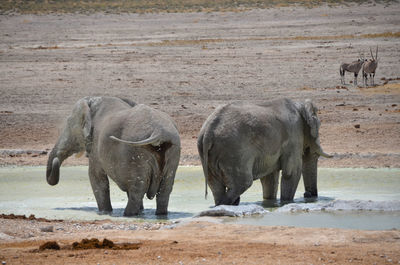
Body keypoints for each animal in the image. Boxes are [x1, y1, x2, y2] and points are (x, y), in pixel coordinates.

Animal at [45, 96, 180, 216]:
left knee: (137, 189)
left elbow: (96, 178)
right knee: (165, 189)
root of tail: (159, 132)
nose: (55, 160)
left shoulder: (95, 146)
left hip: (136, 153)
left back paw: (128, 215)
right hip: (172, 152)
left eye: (68, 122)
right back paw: (160, 215)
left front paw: (104, 212)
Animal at [197, 97, 332, 204]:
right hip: (233, 152)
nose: (307, 195)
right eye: (319, 127)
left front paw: (270, 203)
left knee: (216, 186)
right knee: (243, 183)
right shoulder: (293, 136)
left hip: (208, 154)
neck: (300, 105)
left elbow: (270, 178)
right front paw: (286, 202)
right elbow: (291, 173)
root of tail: (208, 131)